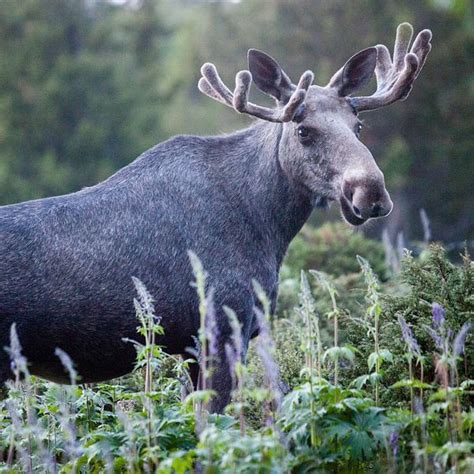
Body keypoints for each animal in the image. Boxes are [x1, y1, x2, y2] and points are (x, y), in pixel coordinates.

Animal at [0, 24, 430, 412]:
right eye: (303, 131)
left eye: (358, 126)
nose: (370, 193)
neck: (267, 225)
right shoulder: (222, 327)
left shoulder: (194, 346)